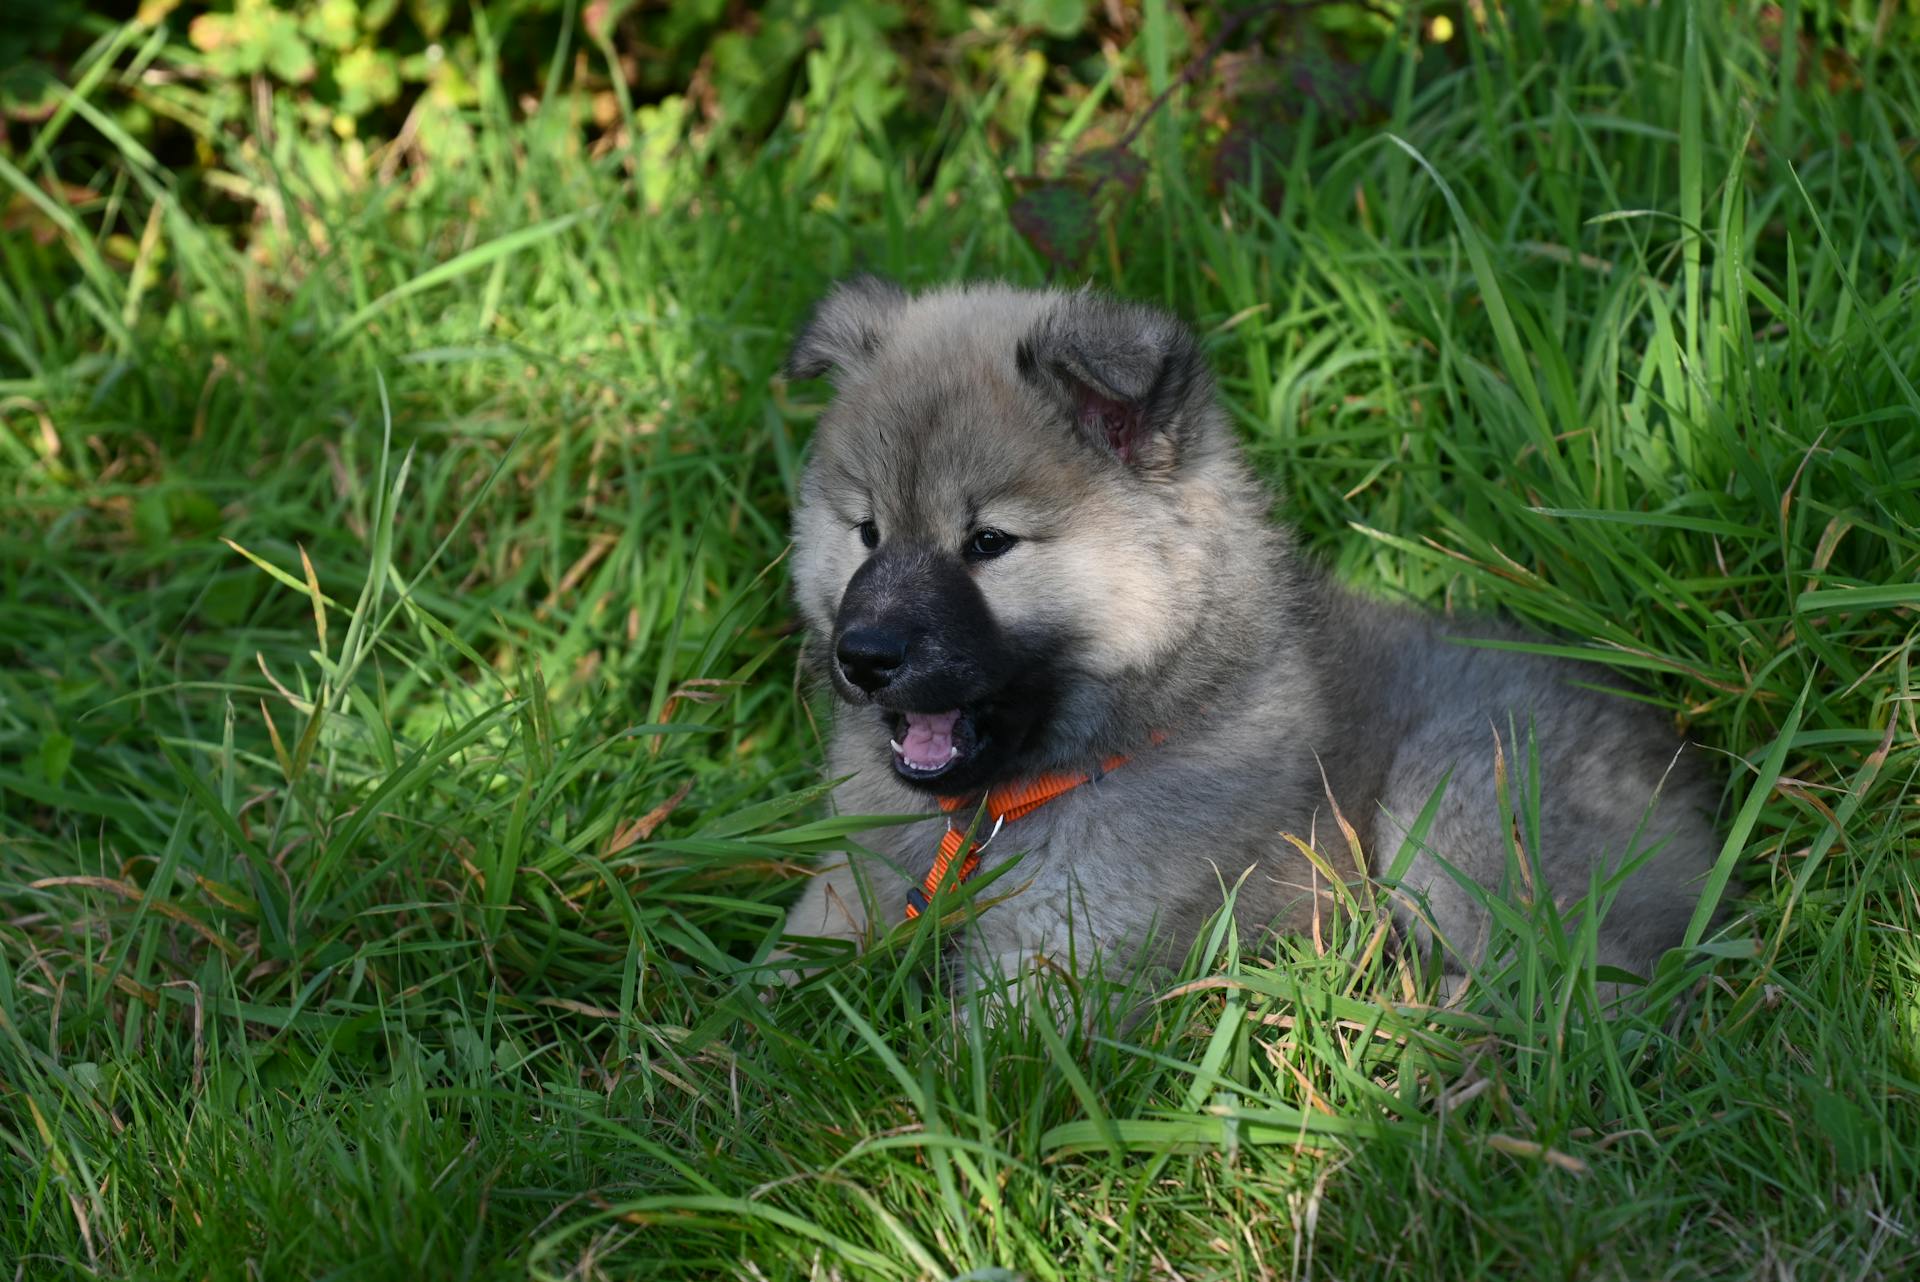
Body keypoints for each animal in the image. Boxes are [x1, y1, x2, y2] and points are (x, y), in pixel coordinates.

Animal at [779, 276, 1728, 1005]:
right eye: (867, 531)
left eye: (986, 543)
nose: (862, 656)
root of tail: (1682, 759)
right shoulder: (852, 883)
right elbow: (775, 982)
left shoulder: (1062, 958)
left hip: (1451, 803)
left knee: (1588, 990)